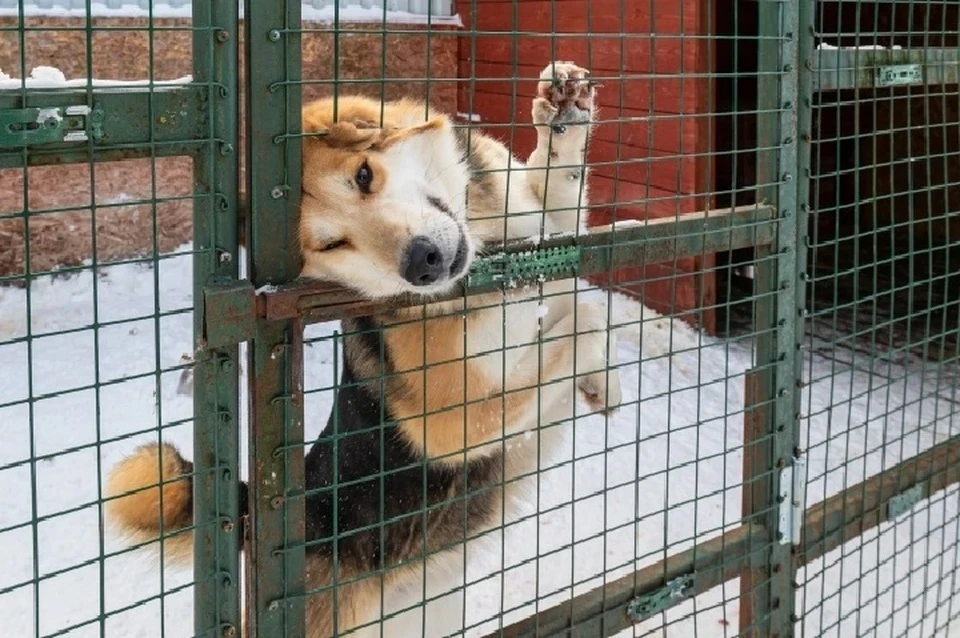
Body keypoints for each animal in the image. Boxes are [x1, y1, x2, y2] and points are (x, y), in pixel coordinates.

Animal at [107, 61, 624, 638]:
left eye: (363, 176)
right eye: (333, 245)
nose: (422, 263)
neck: (488, 251)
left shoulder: (545, 240)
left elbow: (560, 201)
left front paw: (562, 115)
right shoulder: (451, 421)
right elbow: (584, 321)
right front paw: (594, 353)